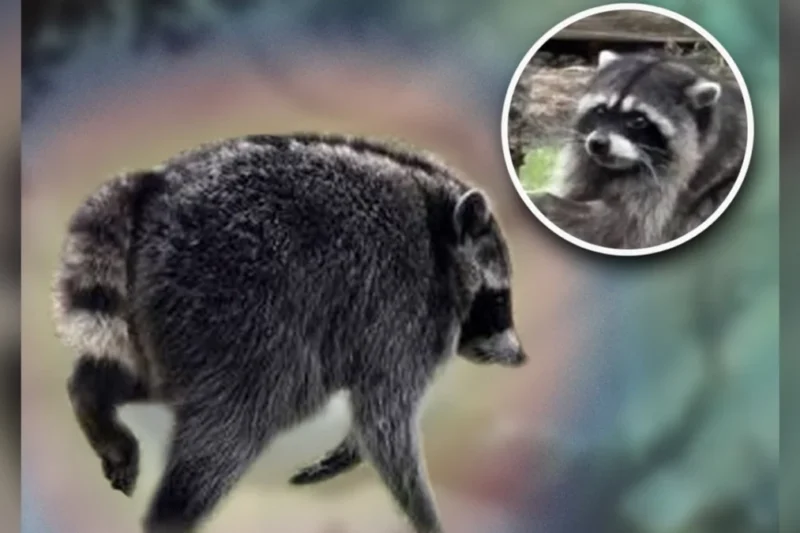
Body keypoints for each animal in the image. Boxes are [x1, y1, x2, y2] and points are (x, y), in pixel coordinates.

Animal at [51, 133, 527, 533]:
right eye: (498, 301)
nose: (520, 357)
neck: (439, 232)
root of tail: (152, 185)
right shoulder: (404, 307)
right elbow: (385, 419)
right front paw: (424, 513)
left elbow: (374, 413)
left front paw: (349, 450)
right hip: (236, 300)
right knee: (240, 416)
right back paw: (172, 510)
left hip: (169, 312)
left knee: (153, 376)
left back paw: (89, 395)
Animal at [530, 49, 747, 249]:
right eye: (601, 110)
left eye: (638, 121)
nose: (598, 144)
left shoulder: (672, 197)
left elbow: (620, 229)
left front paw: (544, 203)